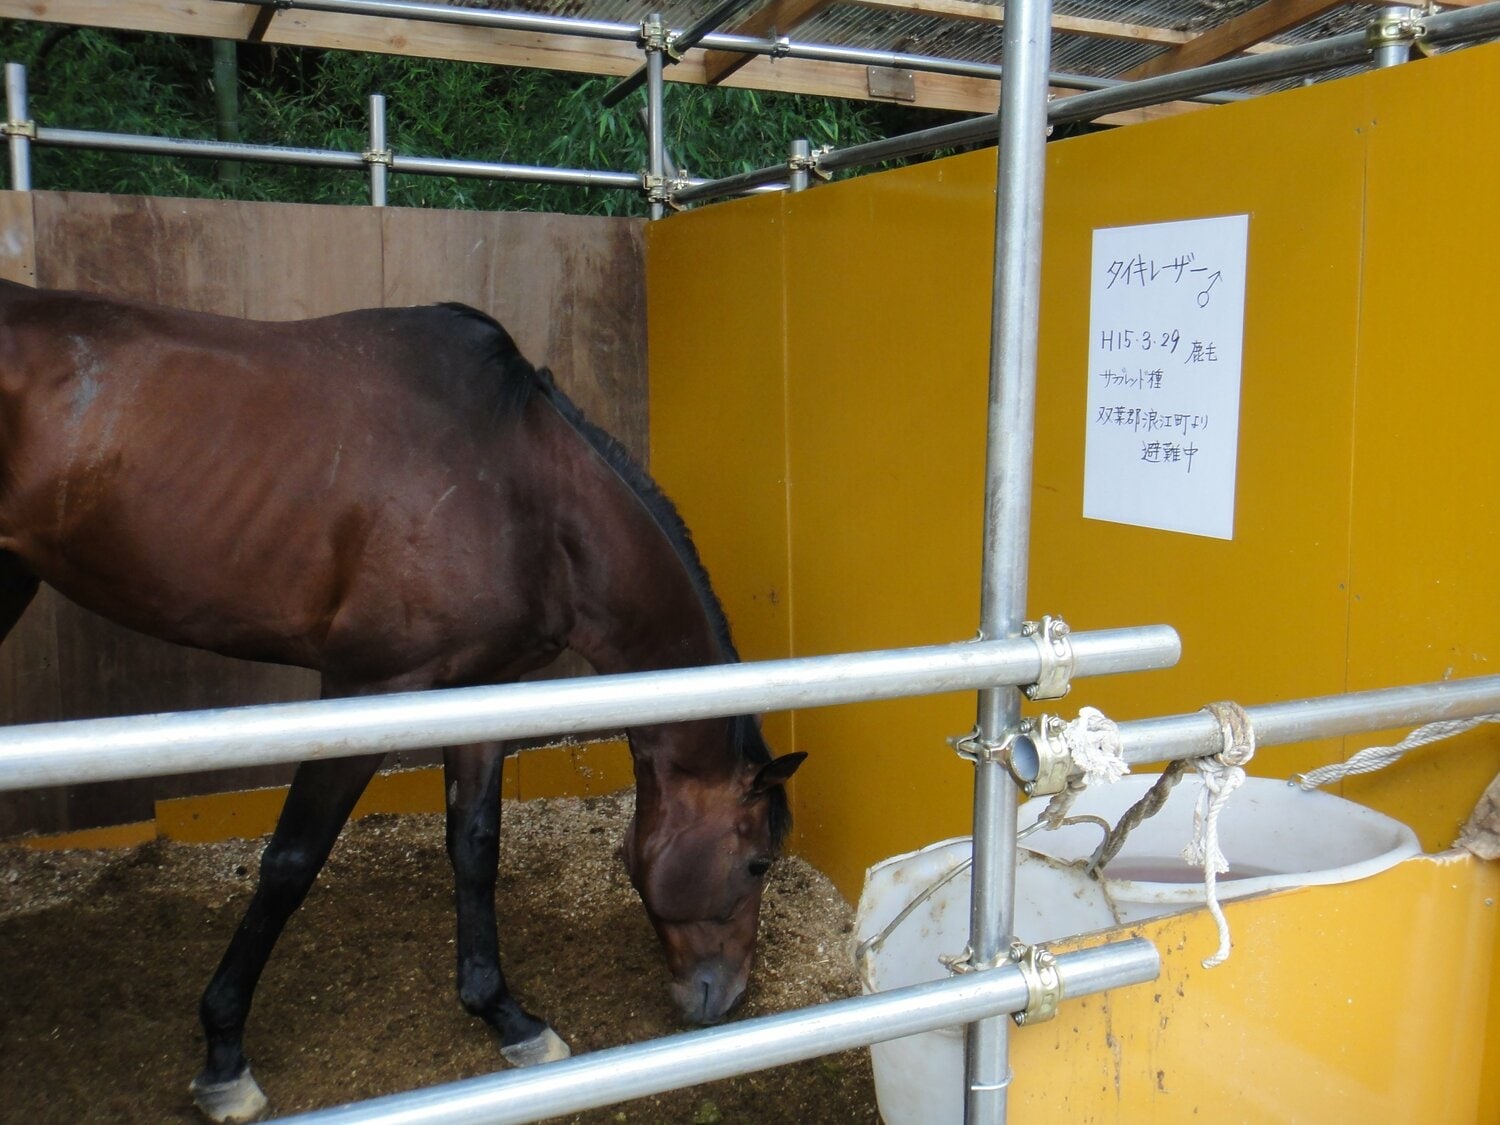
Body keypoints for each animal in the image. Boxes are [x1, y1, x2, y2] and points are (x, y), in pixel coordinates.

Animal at [0, 279, 806, 1123]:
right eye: (757, 862)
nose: (725, 995)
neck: (529, 495)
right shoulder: (365, 690)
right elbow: (291, 862)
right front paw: (224, 1054)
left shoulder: (480, 691)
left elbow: (475, 846)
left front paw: (505, 1015)